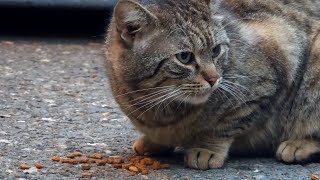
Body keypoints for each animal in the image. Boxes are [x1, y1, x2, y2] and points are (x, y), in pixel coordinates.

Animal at [105, 0, 320, 169]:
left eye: (216, 50)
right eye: (184, 57)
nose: (214, 78)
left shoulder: (267, 77)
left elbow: (225, 125)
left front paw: (206, 148)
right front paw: (154, 142)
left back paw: (299, 145)